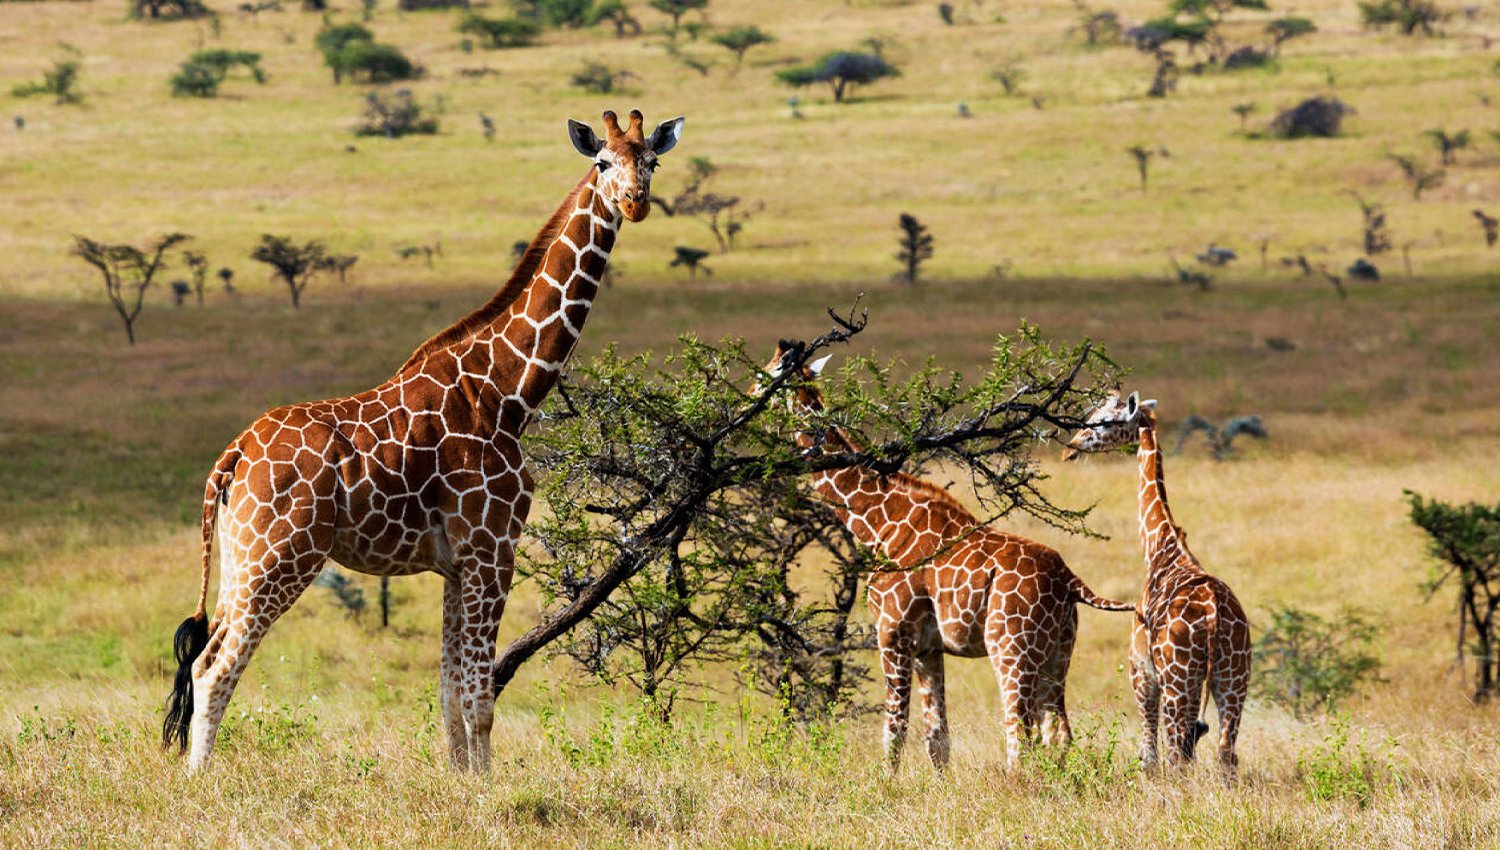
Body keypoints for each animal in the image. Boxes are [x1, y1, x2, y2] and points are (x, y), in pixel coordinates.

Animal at [161, 109, 686, 773]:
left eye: (652, 162)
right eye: (602, 162)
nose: (636, 202)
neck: (506, 391)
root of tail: (232, 457)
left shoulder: (454, 562)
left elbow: (448, 693)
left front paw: (462, 780)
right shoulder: (492, 548)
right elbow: (480, 694)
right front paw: (489, 789)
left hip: (239, 556)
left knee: (207, 654)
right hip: (281, 555)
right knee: (213, 668)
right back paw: (202, 782)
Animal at [758, 343, 1133, 770]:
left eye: (769, 373)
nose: (750, 391)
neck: (879, 524)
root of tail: (1070, 580)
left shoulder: (892, 632)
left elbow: (894, 730)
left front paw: (885, 783)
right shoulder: (928, 647)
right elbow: (937, 738)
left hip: (1011, 650)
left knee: (1020, 733)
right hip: (1057, 654)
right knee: (1058, 733)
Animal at [1063, 390, 1252, 776]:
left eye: (1104, 420)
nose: (1072, 446)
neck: (1159, 547)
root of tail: (1214, 616)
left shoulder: (1142, 671)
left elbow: (1147, 754)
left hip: (1179, 679)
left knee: (1177, 754)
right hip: (1232, 677)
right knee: (1225, 753)